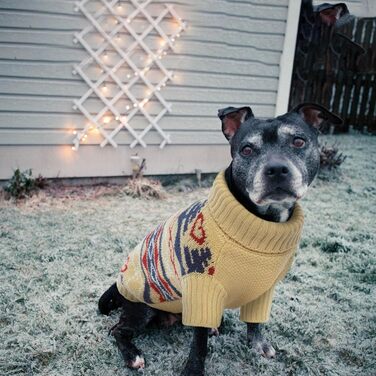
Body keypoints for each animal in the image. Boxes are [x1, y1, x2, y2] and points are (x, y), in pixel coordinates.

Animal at [98, 103, 342, 376]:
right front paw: (193, 371)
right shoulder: (202, 290)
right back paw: (133, 355)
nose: (277, 169)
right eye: (247, 149)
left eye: (298, 141)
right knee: (117, 330)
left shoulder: (264, 291)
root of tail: (117, 285)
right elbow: (199, 344)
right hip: (143, 306)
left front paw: (258, 344)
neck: (262, 223)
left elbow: (255, 322)